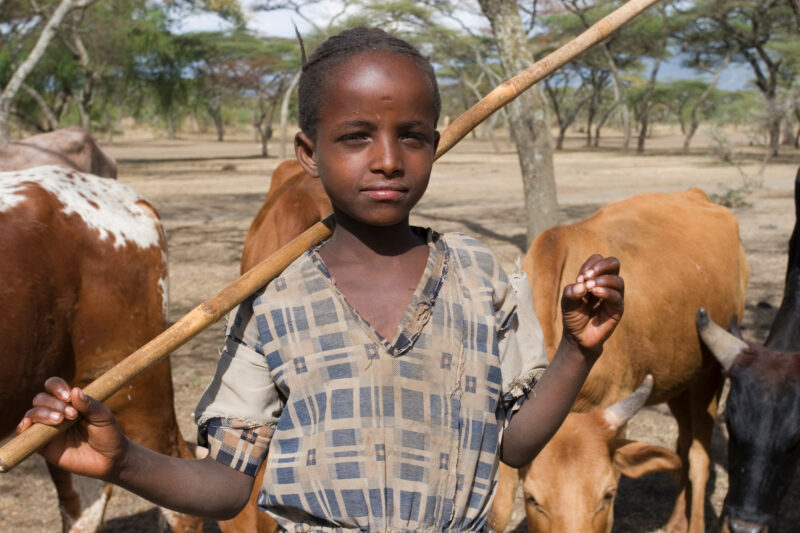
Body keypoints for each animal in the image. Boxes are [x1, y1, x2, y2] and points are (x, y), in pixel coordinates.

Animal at [491, 188, 749, 533]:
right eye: (532, 499)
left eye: (608, 494)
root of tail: (696, 194)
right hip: (679, 379)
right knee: (682, 444)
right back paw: (676, 521)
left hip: (710, 374)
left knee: (698, 457)